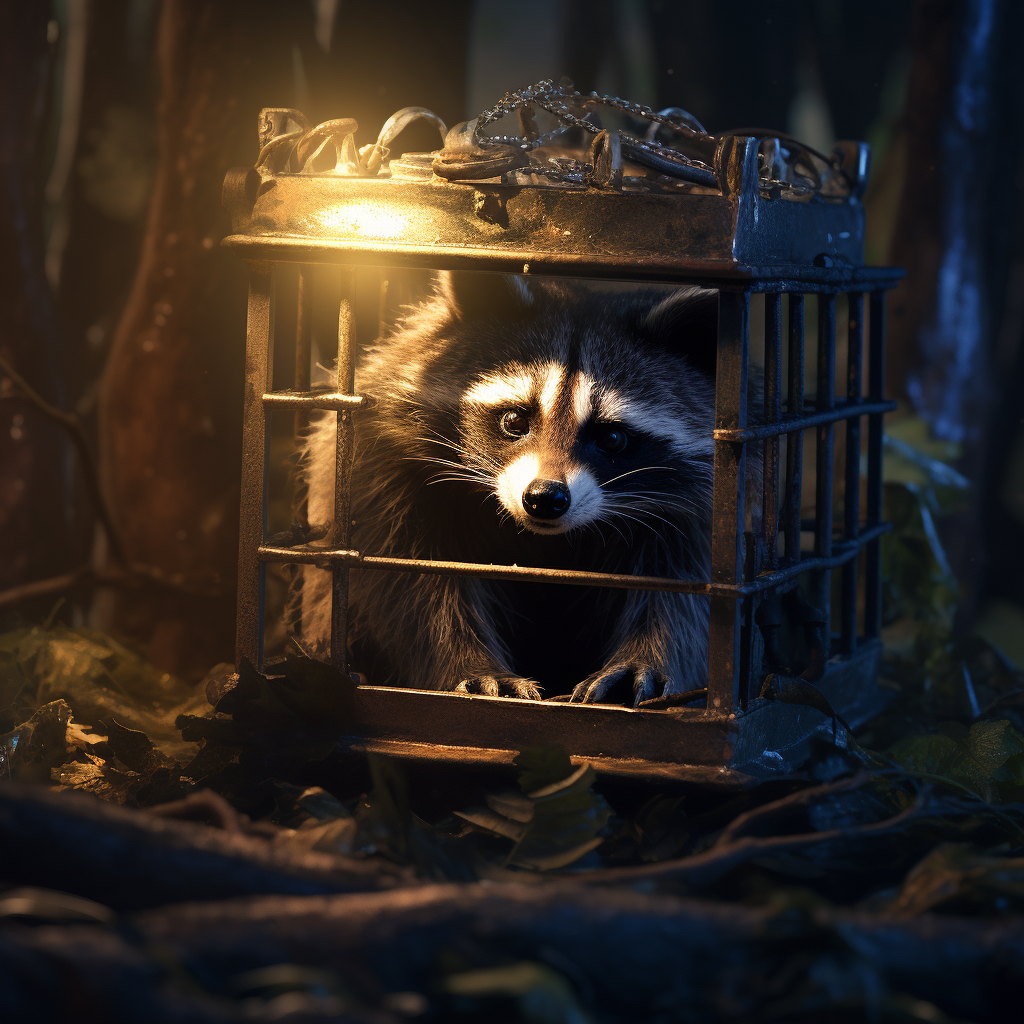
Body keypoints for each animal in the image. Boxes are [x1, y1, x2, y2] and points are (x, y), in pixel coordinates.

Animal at [299, 272, 722, 706]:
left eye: (613, 438)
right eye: (515, 419)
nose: (545, 498)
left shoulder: (697, 510)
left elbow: (682, 598)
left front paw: (649, 657)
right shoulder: (384, 472)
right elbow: (409, 585)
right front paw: (469, 663)